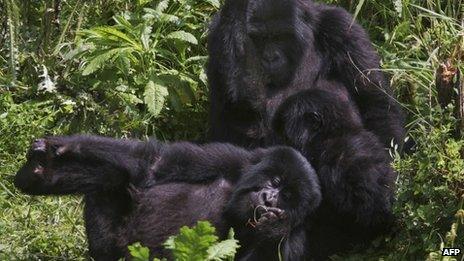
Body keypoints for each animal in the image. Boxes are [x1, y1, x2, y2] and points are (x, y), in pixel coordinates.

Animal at [13, 136, 320, 260]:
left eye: (287, 197)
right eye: (276, 182)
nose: (268, 198)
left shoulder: (295, 243)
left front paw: (273, 226)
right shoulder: (232, 159)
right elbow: (154, 163)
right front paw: (64, 146)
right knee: (111, 179)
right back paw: (37, 172)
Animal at [208, 0, 404, 148]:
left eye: (281, 36)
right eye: (260, 38)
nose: (270, 58)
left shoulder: (342, 27)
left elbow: (373, 99)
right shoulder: (218, 33)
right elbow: (237, 113)